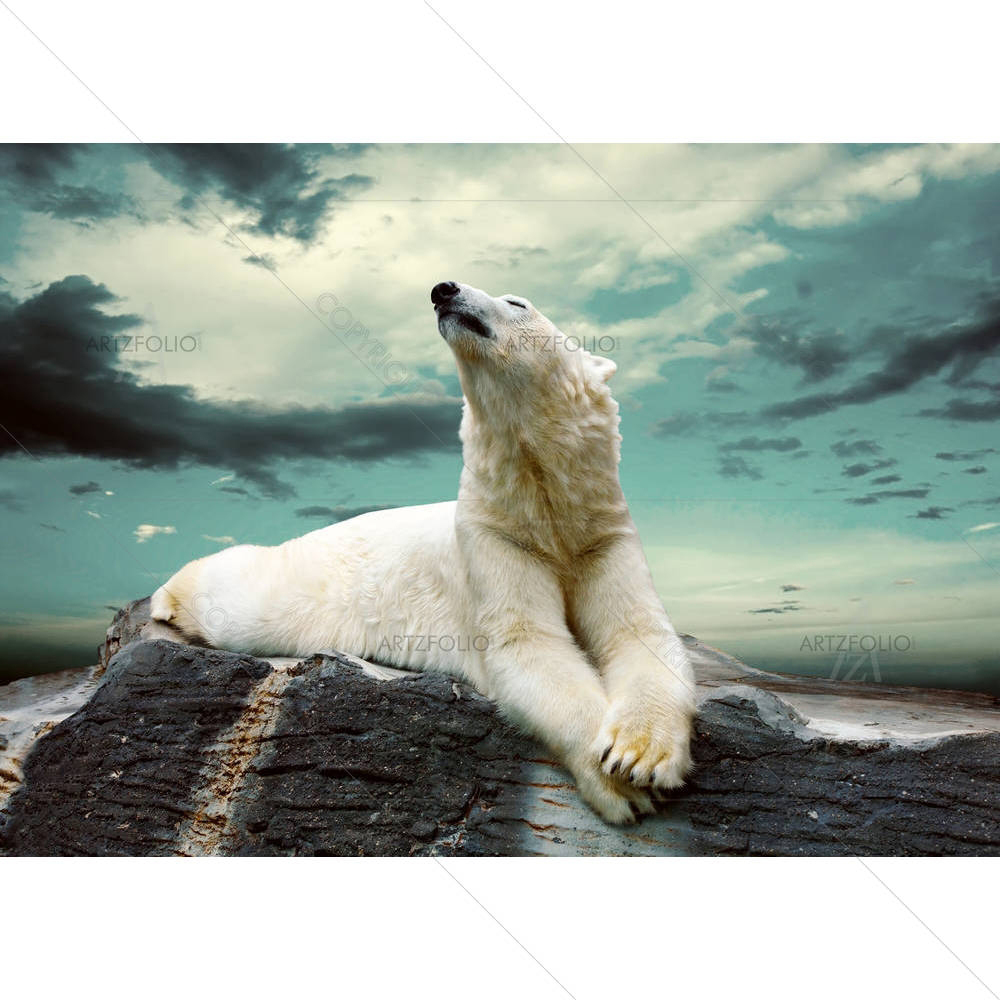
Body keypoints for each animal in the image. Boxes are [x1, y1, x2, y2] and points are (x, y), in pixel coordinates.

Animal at [151, 281, 696, 824]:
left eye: (518, 303)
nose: (443, 289)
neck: (543, 504)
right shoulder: (493, 537)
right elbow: (527, 643)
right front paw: (619, 784)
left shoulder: (601, 534)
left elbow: (639, 633)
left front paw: (639, 754)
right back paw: (165, 598)